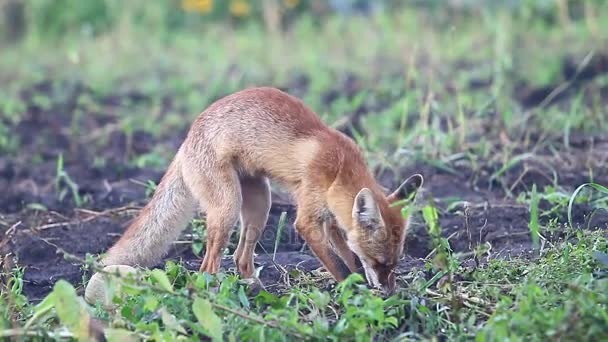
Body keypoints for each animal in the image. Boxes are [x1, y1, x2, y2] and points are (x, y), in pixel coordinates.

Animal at [98, 87, 422, 294]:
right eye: (380, 263)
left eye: (395, 264)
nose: (390, 292)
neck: (340, 170)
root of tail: (187, 138)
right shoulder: (307, 219)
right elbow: (337, 265)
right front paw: (352, 290)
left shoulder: (331, 220)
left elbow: (349, 256)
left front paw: (359, 282)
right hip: (228, 208)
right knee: (207, 267)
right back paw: (215, 296)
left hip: (260, 207)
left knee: (241, 258)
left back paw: (253, 288)